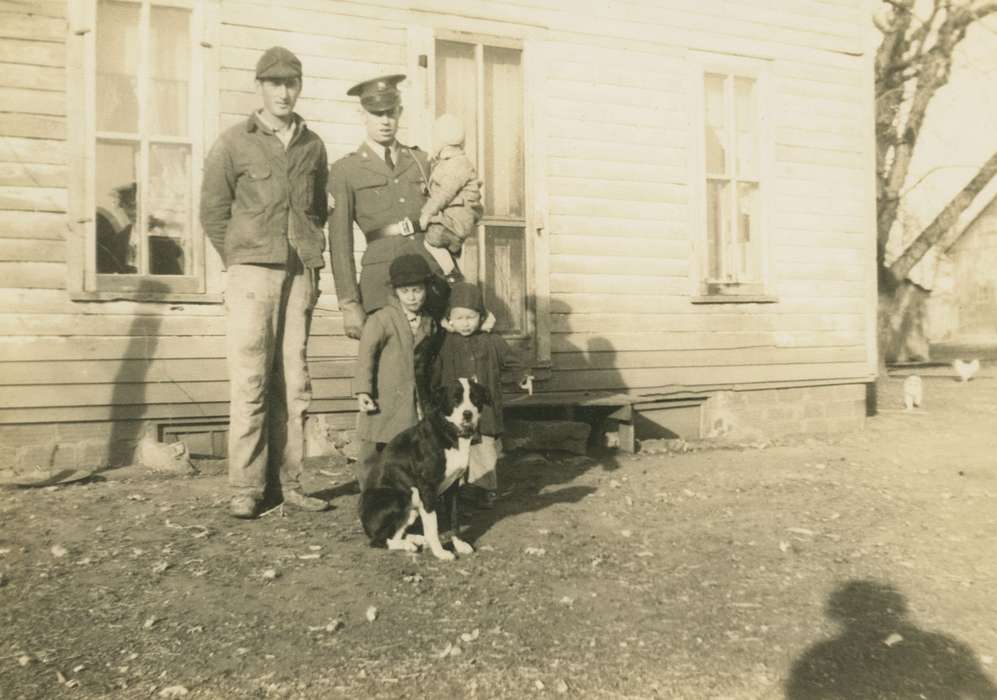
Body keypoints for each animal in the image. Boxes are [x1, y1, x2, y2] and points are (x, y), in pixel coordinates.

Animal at [358, 378, 490, 564]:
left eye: (475, 398)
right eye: (455, 399)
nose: (468, 414)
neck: (448, 432)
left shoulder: (452, 488)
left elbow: (454, 518)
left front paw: (459, 545)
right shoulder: (427, 489)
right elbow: (432, 526)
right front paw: (441, 552)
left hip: (412, 507)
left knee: (395, 534)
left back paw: (416, 540)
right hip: (401, 497)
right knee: (378, 541)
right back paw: (410, 545)